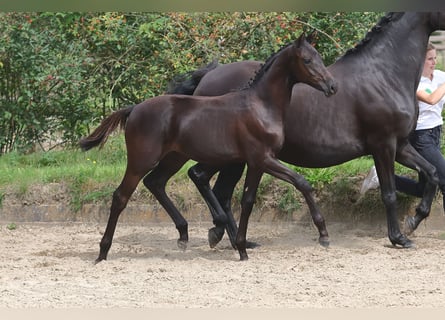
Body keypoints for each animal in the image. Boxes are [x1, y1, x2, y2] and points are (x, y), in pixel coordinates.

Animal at [80, 33, 336, 262]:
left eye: (320, 57)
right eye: (307, 60)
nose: (332, 86)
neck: (260, 106)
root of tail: (134, 109)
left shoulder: (256, 163)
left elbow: (247, 201)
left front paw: (242, 249)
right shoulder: (263, 158)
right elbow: (301, 182)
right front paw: (324, 235)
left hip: (174, 157)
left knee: (155, 182)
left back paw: (183, 235)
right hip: (140, 160)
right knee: (121, 197)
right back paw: (102, 252)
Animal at [163, 13, 444, 250]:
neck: (384, 75)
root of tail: (206, 78)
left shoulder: (401, 145)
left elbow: (431, 174)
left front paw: (414, 221)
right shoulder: (383, 144)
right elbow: (389, 193)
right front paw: (398, 237)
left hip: (235, 159)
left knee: (216, 188)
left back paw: (230, 238)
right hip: (229, 157)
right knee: (203, 179)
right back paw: (219, 233)